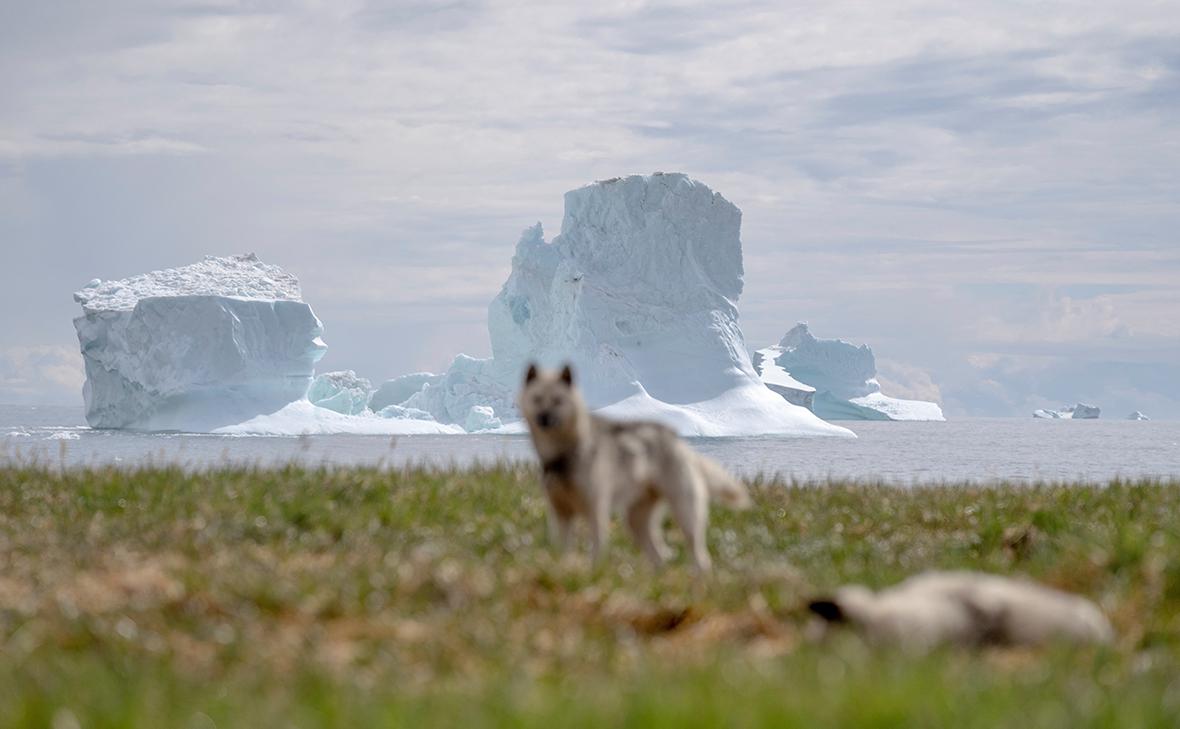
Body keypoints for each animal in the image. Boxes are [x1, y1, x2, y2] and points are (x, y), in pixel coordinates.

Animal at [516, 360, 745, 570]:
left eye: (558, 400)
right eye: (537, 399)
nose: (544, 418)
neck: (564, 455)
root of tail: (679, 443)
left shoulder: (596, 511)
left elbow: (597, 551)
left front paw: (594, 574)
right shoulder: (559, 514)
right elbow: (561, 552)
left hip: (686, 514)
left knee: (700, 558)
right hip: (636, 521)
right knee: (659, 557)